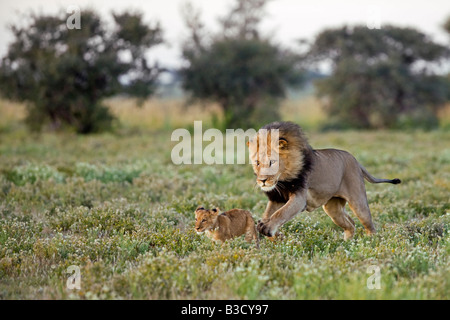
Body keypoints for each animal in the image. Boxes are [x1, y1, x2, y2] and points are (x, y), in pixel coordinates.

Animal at [250, 121, 400, 239]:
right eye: (257, 162)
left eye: (272, 162)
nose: (262, 181)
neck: (283, 180)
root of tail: (356, 161)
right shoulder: (277, 198)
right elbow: (268, 213)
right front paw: (267, 229)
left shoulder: (299, 198)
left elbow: (281, 213)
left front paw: (267, 229)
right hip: (333, 209)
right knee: (350, 224)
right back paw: (346, 243)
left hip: (358, 203)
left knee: (369, 225)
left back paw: (370, 242)